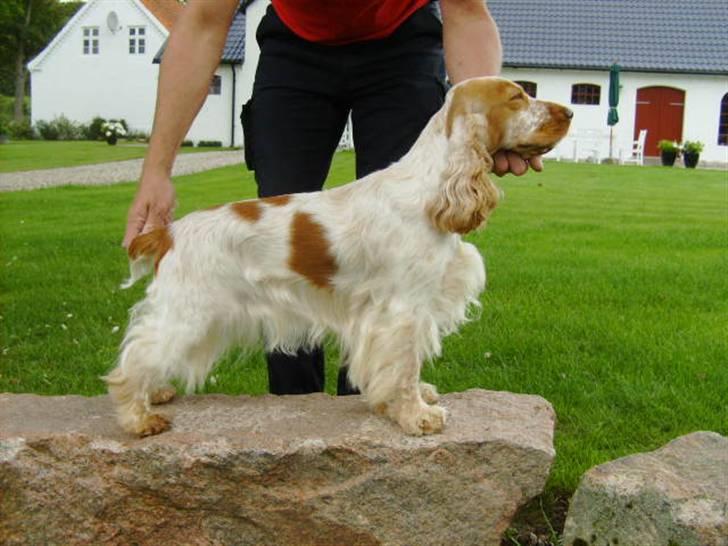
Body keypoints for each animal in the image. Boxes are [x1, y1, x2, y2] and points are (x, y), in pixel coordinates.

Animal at [105, 76, 572, 436]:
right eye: (517, 97)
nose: (569, 112)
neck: (430, 190)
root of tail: (168, 232)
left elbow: (406, 367)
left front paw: (416, 398)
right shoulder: (403, 309)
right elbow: (403, 368)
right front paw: (416, 416)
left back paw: (155, 393)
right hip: (190, 311)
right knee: (134, 359)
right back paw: (138, 417)